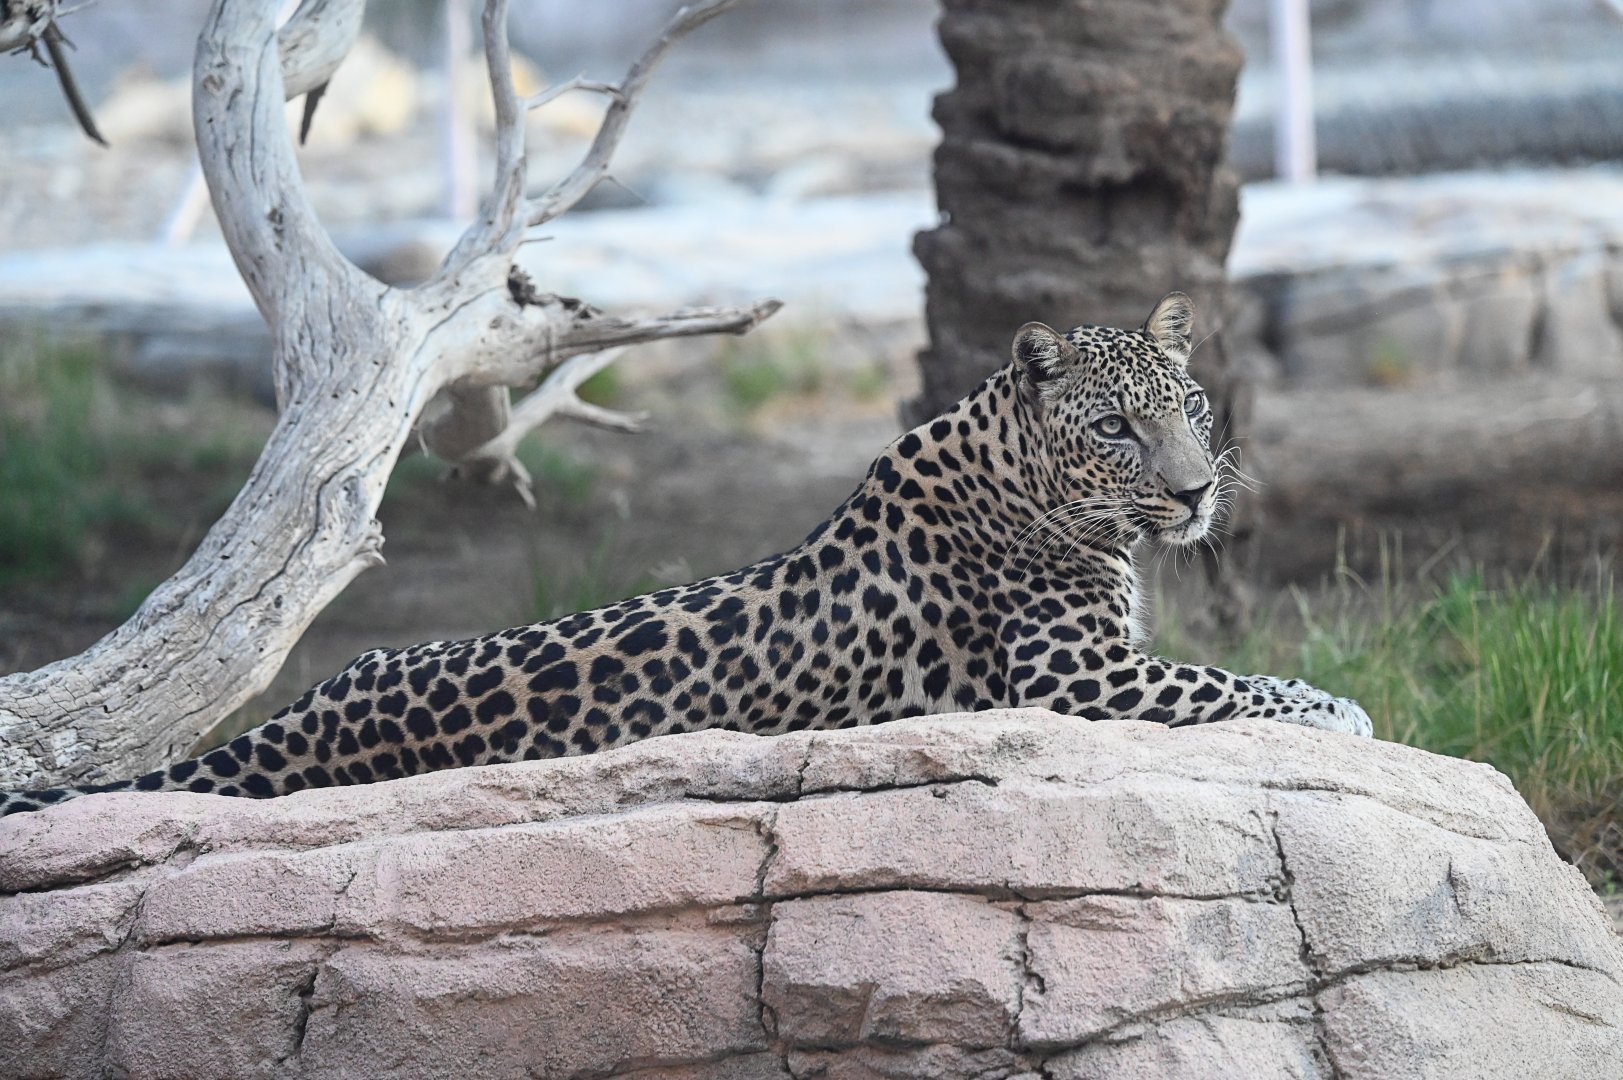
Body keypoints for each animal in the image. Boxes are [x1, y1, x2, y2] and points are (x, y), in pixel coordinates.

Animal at [0, 293, 1371, 817]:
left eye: (1186, 407)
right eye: (1116, 429)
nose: (1194, 493)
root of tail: (300, 716)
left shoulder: (1101, 666)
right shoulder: (1071, 676)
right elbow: (1229, 683)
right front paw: (1339, 709)